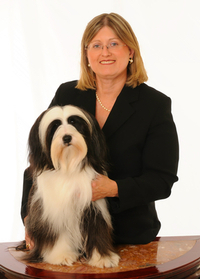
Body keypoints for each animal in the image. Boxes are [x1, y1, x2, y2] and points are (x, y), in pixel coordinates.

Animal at [18, 105, 119, 270]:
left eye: (73, 122)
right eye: (55, 126)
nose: (66, 138)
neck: (68, 166)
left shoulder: (93, 207)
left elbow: (97, 230)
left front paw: (103, 258)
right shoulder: (53, 212)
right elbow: (58, 234)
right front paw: (61, 256)